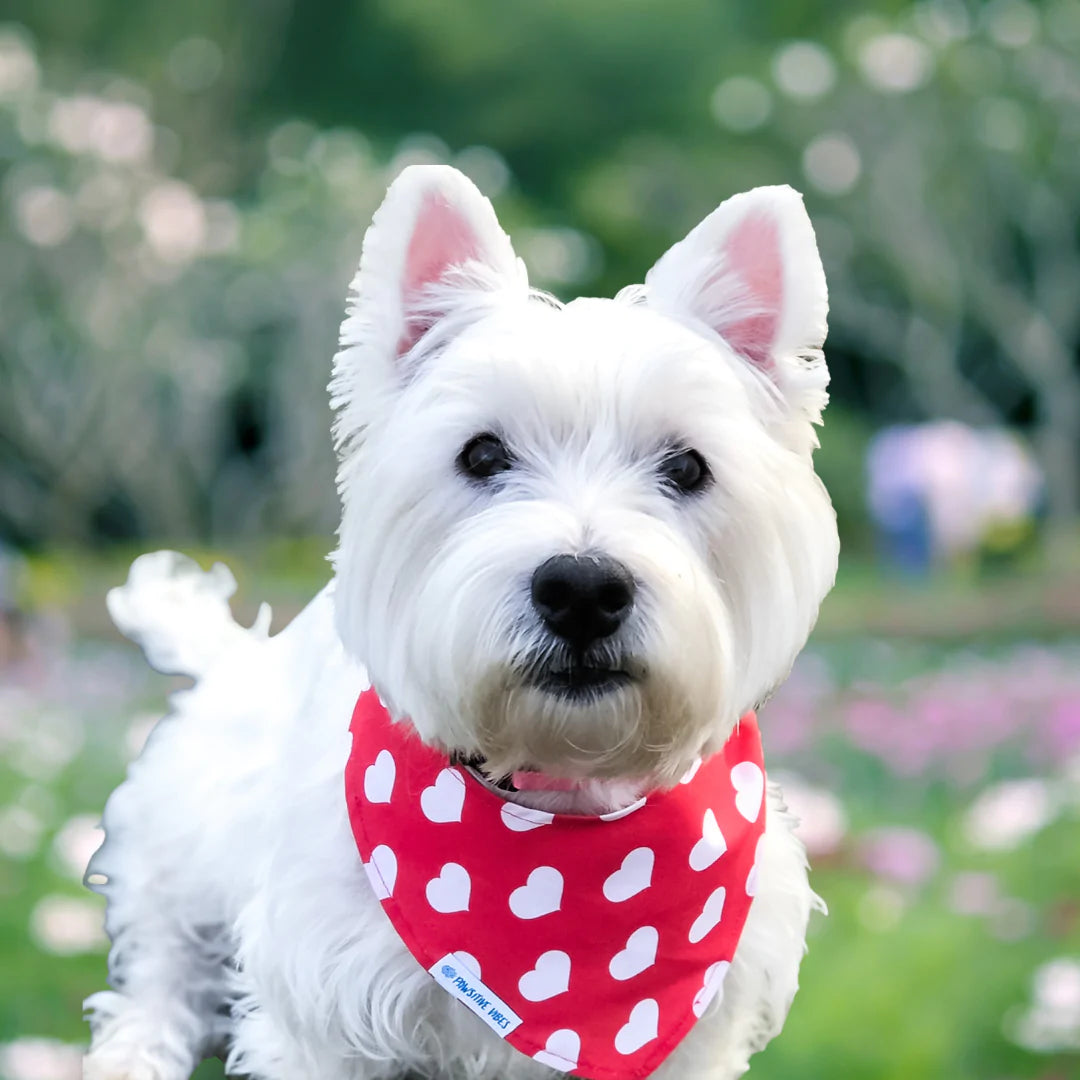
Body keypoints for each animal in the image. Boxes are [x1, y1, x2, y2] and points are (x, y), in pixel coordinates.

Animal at [86, 162, 842, 1080]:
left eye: (688, 467)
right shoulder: (323, 1008)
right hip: (182, 841)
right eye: (482, 454)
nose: (582, 589)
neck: (558, 804)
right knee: (160, 957)